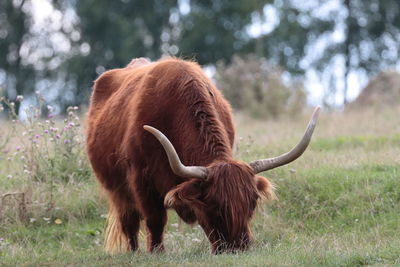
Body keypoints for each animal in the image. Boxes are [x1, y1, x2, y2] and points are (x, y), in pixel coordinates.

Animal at [86, 57, 320, 254]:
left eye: (252, 202)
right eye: (213, 205)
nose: (237, 248)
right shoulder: (141, 179)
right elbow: (155, 219)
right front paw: (156, 253)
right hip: (116, 188)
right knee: (130, 221)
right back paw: (134, 252)